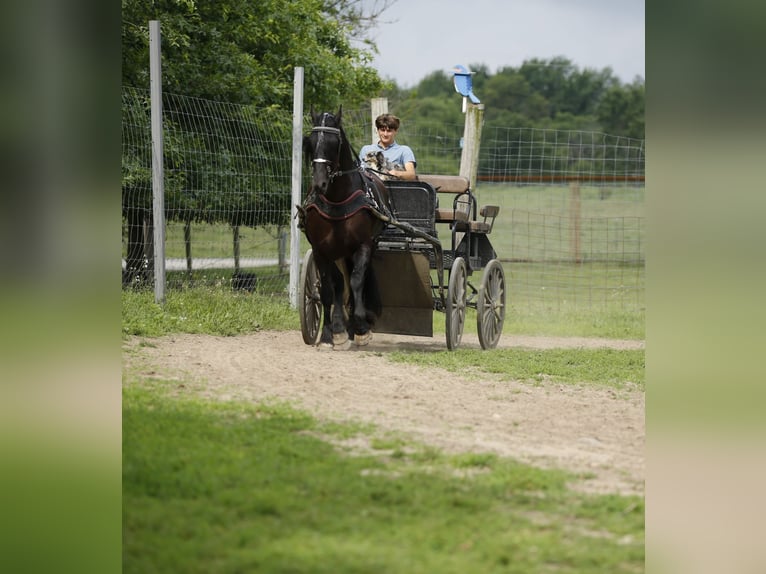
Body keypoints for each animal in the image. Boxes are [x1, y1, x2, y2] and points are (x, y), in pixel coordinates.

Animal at [302, 108, 392, 352]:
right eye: (310, 142)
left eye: (334, 143)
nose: (320, 184)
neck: (337, 201)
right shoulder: (320, 250)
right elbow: (327, 290)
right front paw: (328, 335)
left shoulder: (363, 246)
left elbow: (357, 281)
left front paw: (360, 328)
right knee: (339, 285)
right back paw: (341, 329)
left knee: (354, 283)